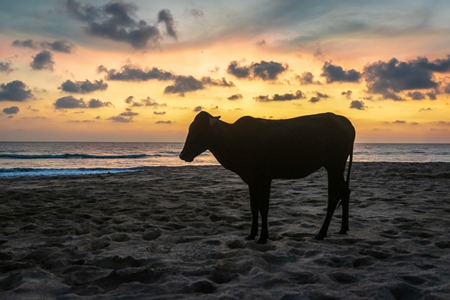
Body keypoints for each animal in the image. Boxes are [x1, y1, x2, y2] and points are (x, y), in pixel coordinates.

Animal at [179, 110, 356, 244]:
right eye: (190, 128)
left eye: (200, 130)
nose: (182, 155)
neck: (234, 140)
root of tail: (346, 122)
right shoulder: (251, 179)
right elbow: (253, 207)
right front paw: (251, 234)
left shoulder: (265, 177)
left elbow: (264, 207)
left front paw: (263, 237)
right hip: (335, 167)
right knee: (345, 191)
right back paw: (343, 228)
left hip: (334, 165)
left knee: (333, 196)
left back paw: (321, 233)